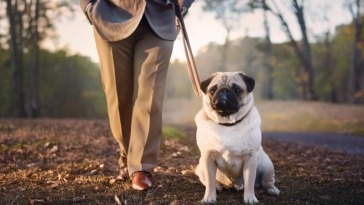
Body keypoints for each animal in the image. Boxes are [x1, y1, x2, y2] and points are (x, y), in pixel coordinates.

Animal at [195, 71, 280, 203]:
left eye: (237, 89)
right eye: (213, 90)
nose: (224, 90)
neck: (227, 123)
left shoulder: (250, 158)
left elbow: (249, 181)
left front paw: (250, 198)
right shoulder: (208, 156)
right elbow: (209, 181)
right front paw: (209, 198)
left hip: (267, 166)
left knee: (267, 182)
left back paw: (272, 189)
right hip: (200, 167)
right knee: (212, 181)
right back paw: (218, 186)